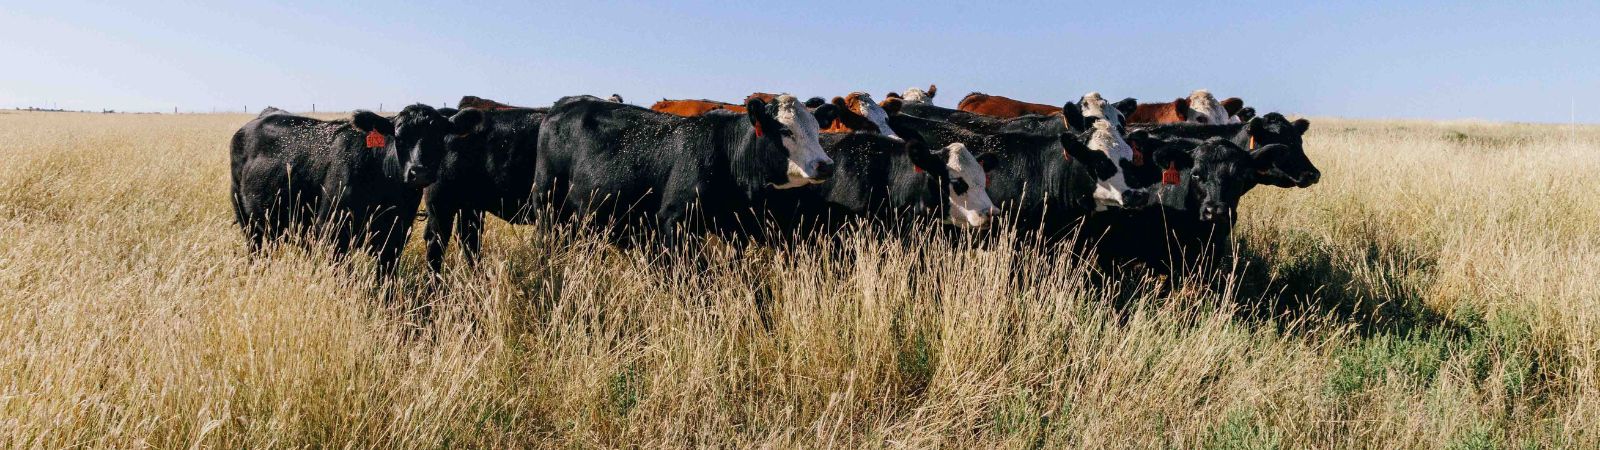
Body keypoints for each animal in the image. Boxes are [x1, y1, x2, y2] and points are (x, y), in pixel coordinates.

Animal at [230, 105, 482, 275]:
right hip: (248, 221)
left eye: (439, 138)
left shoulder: (395, 238)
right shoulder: (332, 231)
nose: (418, 172)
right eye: (399, 137)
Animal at [533, 94, 835, 241]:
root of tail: (564, 104)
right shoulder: (673, 221)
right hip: (547, 207)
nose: (826, 165)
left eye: (817, 129)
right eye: (785, 130)